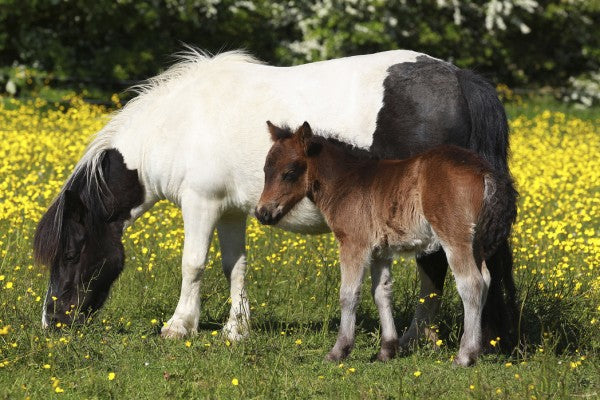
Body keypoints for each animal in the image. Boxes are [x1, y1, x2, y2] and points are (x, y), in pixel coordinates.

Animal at [254, 121, 516, 366]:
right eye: (265, 170)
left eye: (289, 172)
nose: (262, 213)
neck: (347, 183)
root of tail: (484, 170)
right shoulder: (381, 251)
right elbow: (381, 292)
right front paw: (387, 350)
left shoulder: (353, 243)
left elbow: (348, 294)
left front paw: (339, 351)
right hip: (476, 242)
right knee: (486, 279)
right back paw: (476, 349)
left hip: (455, 237)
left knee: (471, 283)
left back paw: (465, 355)